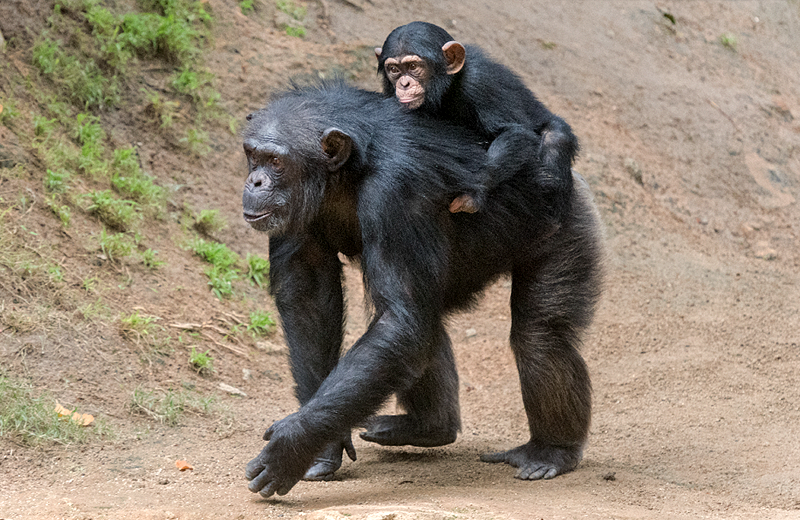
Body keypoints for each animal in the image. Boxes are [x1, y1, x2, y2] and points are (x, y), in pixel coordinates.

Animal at [241, 80, 604, 496]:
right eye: (252, 156)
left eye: (276, 162)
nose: (254, 181)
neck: (346, 172)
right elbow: (308, 297)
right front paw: (322, 446)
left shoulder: (397, 192)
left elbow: (400, 321)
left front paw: (292, 444)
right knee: (423, 320)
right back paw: (429, 426)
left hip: (567, 223)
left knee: (540, 335)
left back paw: (551, 451)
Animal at [376, 19, 576, 219]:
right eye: (394, 69)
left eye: (413, 67)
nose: (404, 83)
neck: (447, 87)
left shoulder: (480, 82)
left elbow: (514, 131)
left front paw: (475, 192)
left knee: (555, 140)